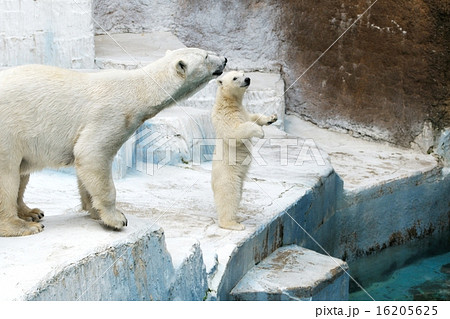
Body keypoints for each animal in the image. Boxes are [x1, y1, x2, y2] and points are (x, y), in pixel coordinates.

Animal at [0, 48, 225, 238]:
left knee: (22, 173)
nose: (224, 59)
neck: (139, 91)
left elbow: (85, 167)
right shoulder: (110, 114)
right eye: (206, 56)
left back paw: (31, 212)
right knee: (8, 175)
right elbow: (92, 153)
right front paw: (117, 219)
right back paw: (23, 226)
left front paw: (95, 211)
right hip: (8, 129)